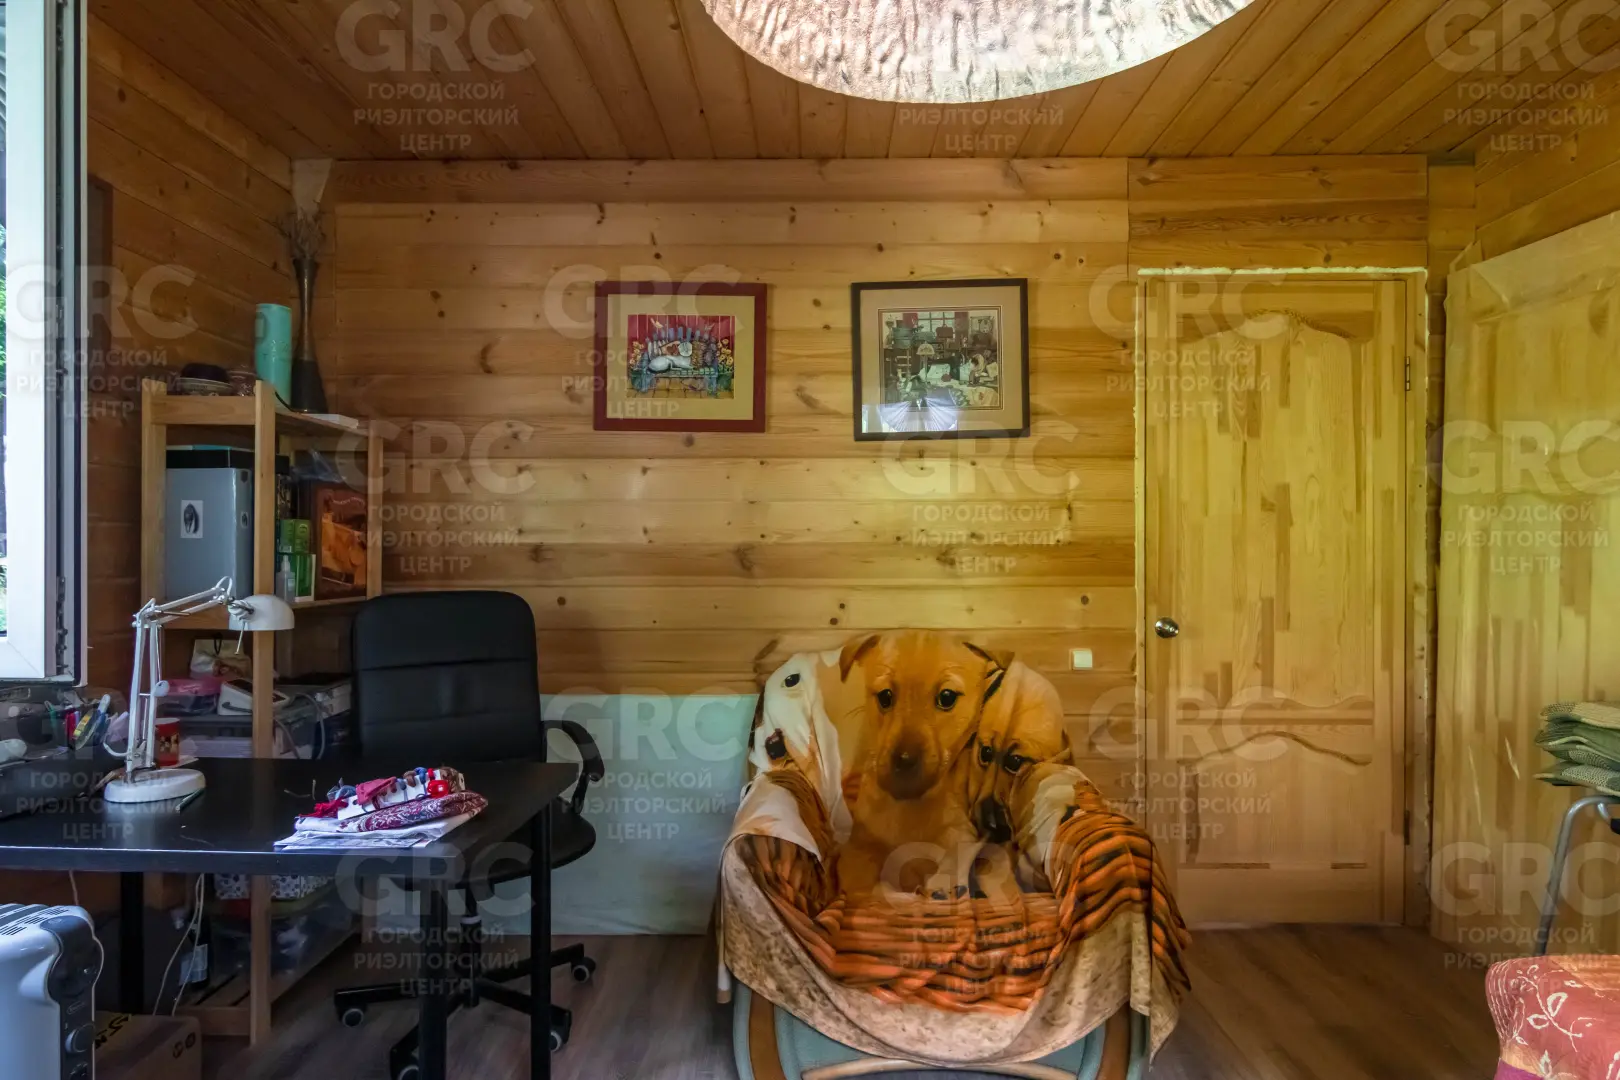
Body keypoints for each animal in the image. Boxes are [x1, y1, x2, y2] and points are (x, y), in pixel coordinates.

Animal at [831, 631, 1014, 898]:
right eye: (885, 696)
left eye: (947, 697)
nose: (905, 758)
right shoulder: (859, 848)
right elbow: (862, 881)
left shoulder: (960, 835)